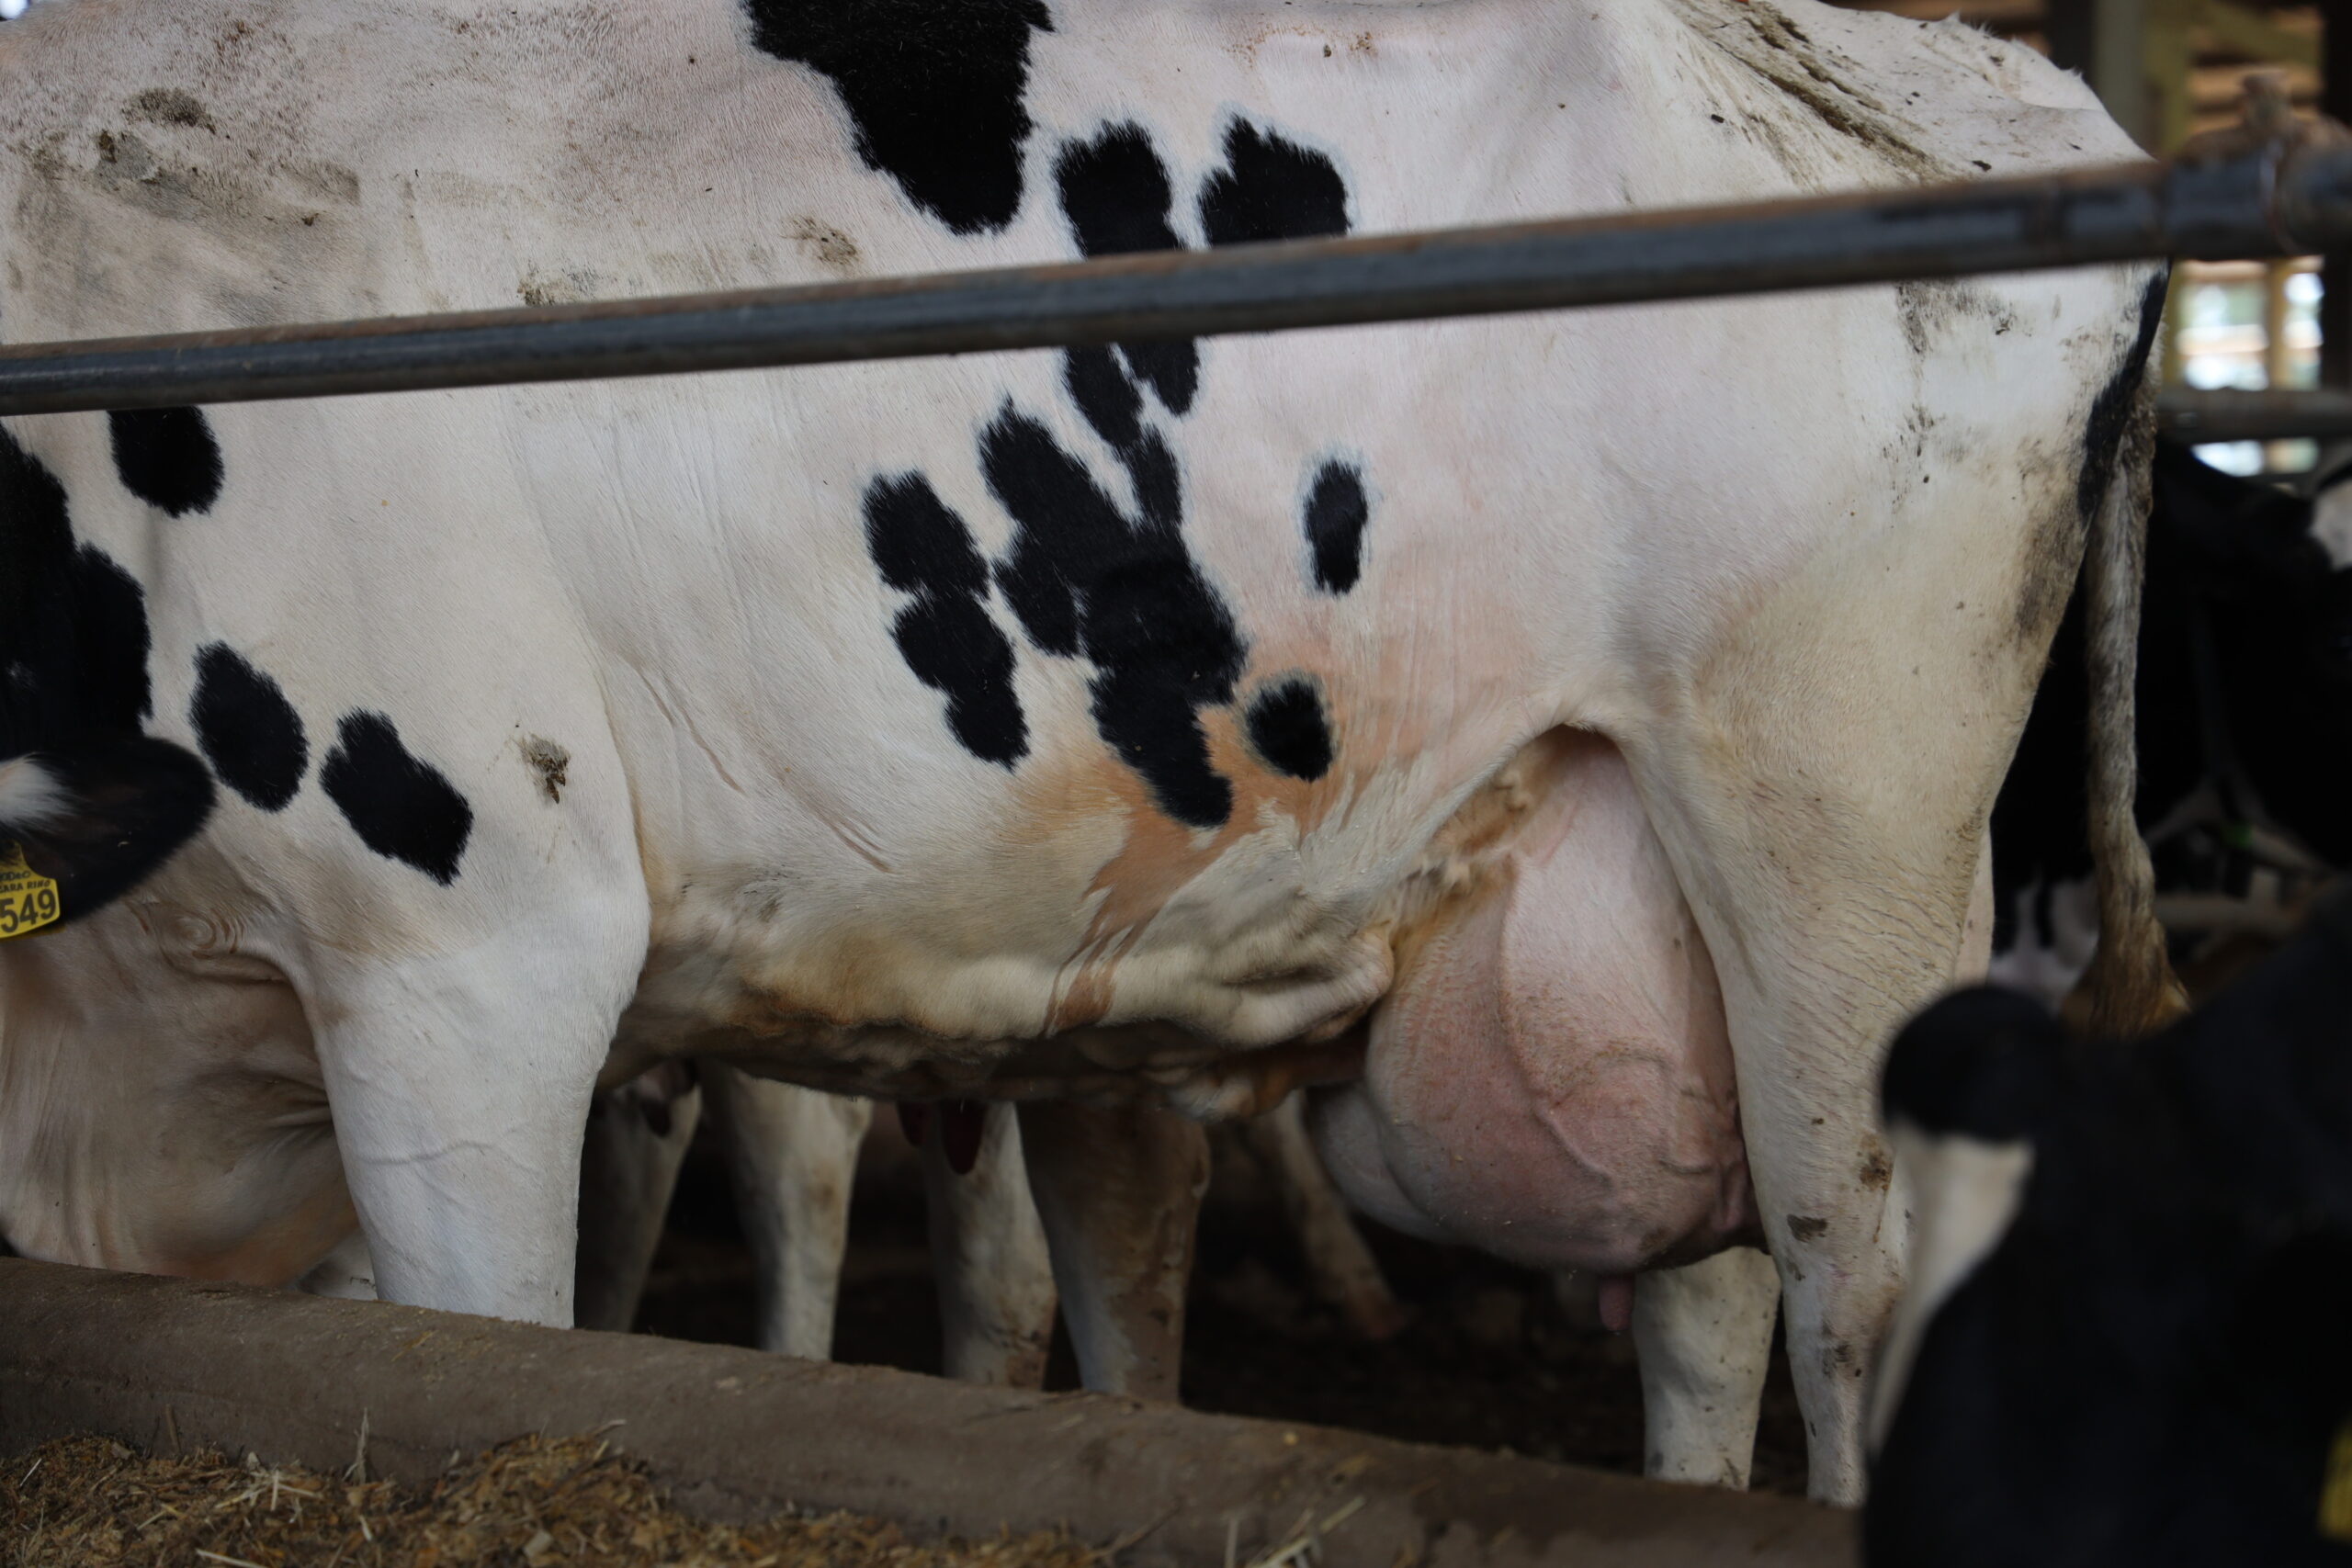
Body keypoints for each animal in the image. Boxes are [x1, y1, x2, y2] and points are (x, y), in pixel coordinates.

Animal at [0, 0, 2178, 1502]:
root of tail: (1969, 69)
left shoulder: (469, 951)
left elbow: (486, 1343)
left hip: (1832, 830)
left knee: (1845, 1295)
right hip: (1646, 872)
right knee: (1699, 1296)